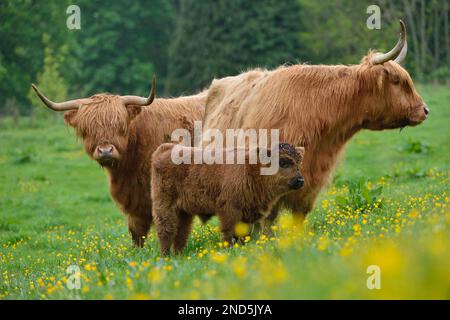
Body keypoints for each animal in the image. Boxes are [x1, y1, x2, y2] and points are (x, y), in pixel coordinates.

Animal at [152, 142, 306, 255]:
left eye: (299, 163)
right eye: (283, 162)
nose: (300, 180)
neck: (251, 168)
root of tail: (166, 148)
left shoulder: (248, 214)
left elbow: (244, 234)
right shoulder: (229, 210)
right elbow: (229, 232)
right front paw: (229, 250)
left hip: (184, 212)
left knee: (181, 233)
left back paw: (178, 255)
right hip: (164, 206)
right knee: (166, 230)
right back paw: (165, 256)